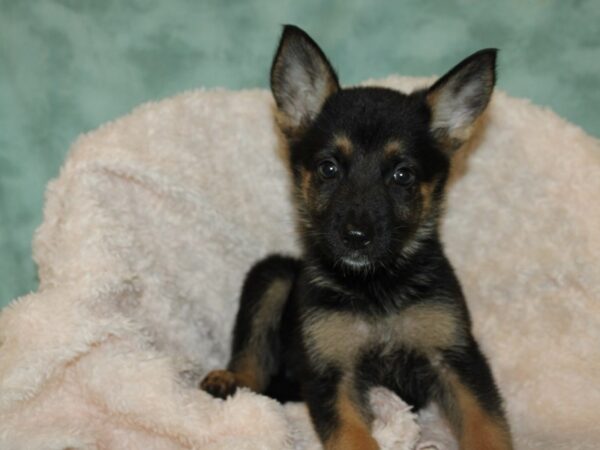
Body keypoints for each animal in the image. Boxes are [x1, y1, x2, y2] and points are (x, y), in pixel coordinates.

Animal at [200, 25, 510, 450]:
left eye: (403, 175)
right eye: (328, 168)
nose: (356, 237)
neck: (375, 286)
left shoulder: (457, 359)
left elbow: (486, 422)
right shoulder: (331, 372)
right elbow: (352, 434)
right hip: (273, 274)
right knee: (253, 360)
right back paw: (230, 379)